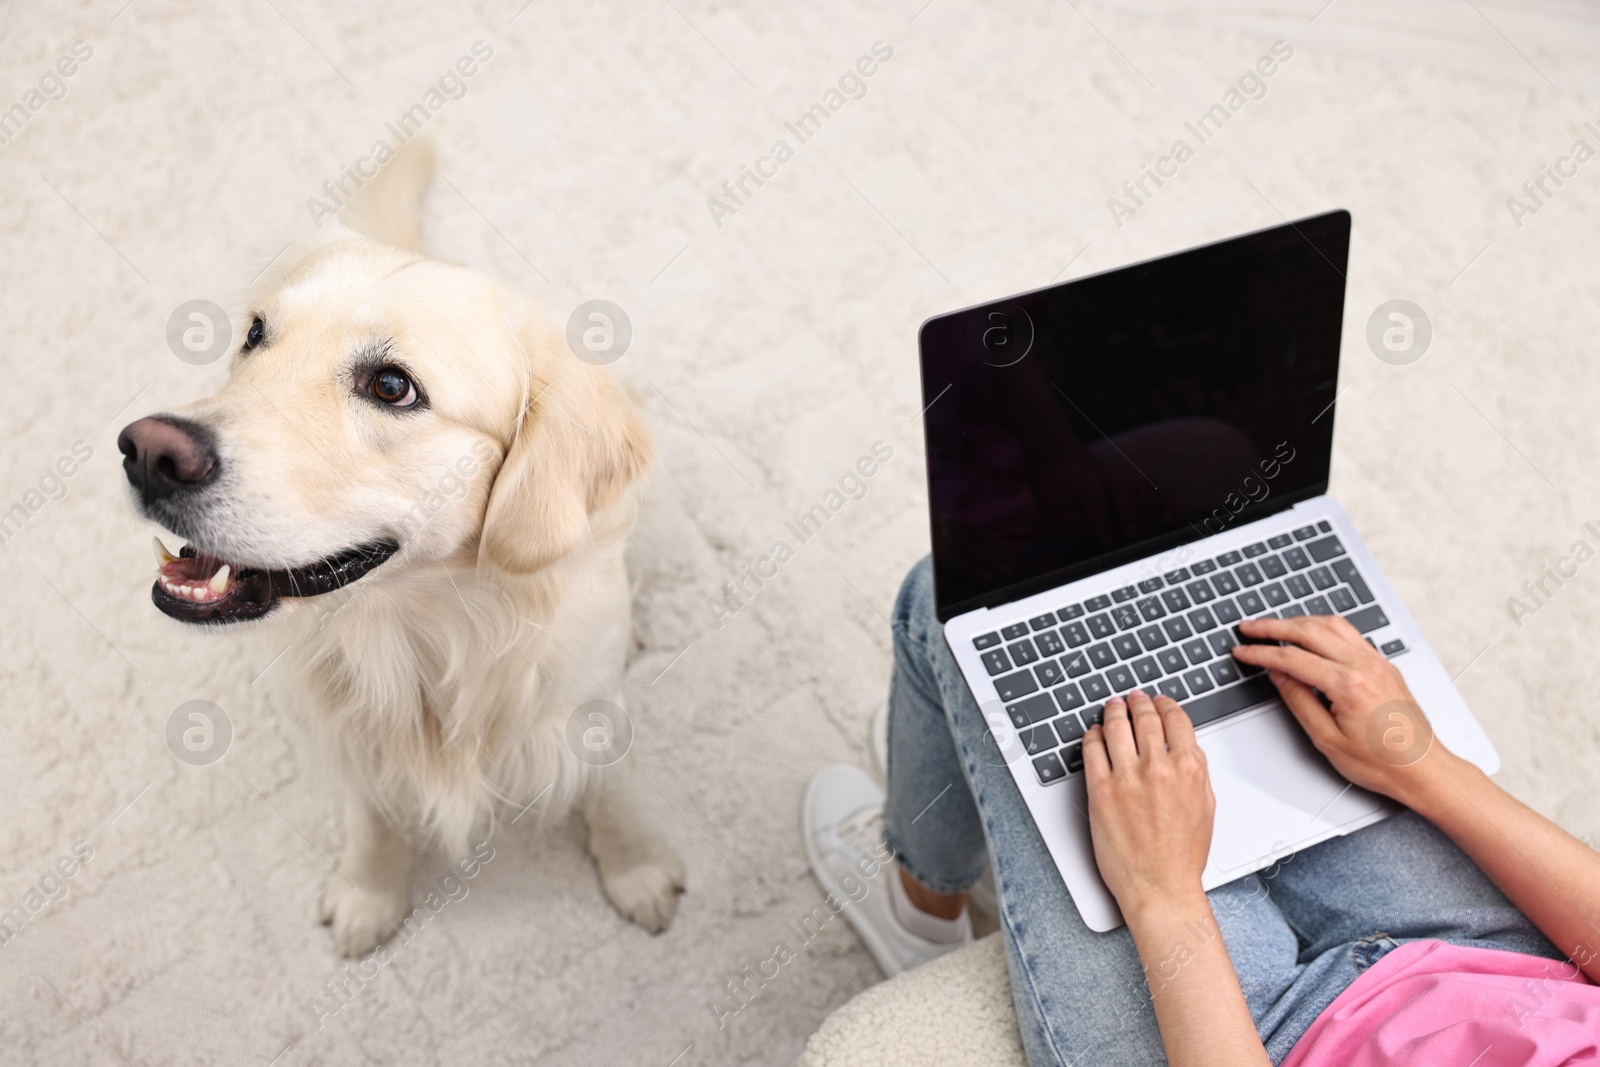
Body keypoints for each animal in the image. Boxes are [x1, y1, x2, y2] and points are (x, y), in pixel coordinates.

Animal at [116, 139, 681, 953]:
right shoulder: (349, 734)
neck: (425, 634)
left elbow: (612, 787)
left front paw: (635, 864)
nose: (149, 453)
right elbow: (374, 814)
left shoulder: (588, 703)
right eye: (254, 335)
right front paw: (369, 889)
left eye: (391, 385)